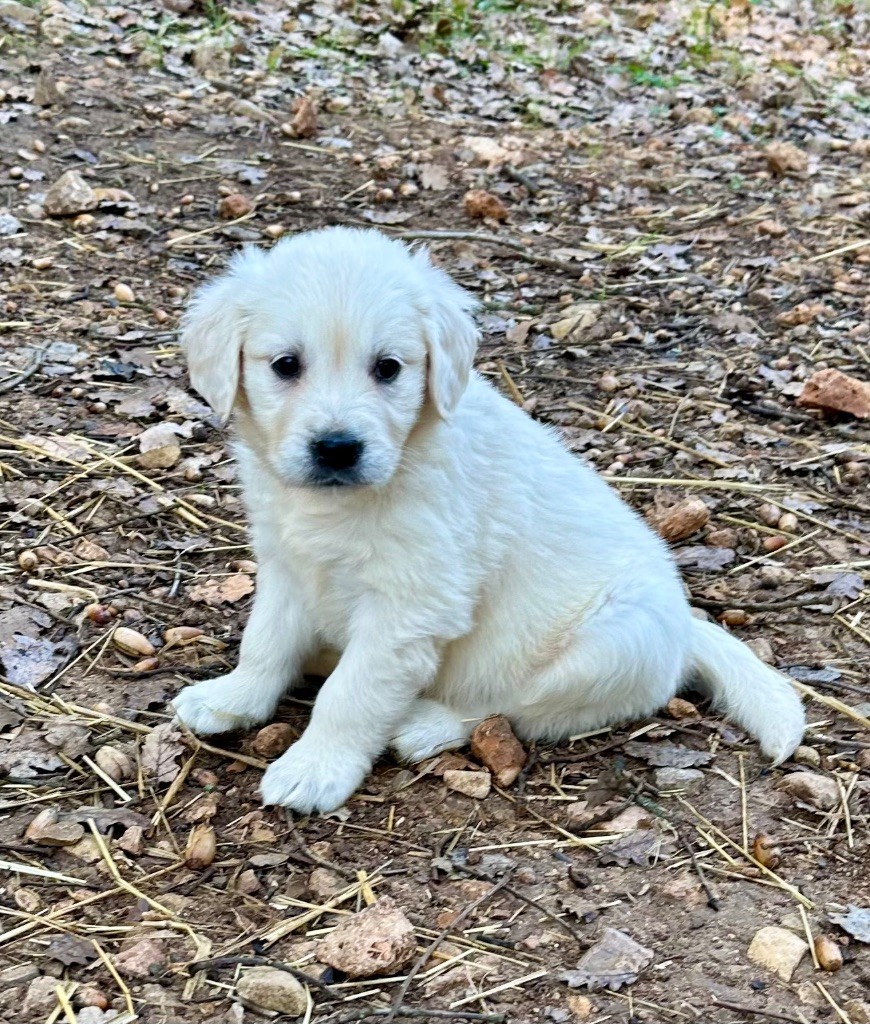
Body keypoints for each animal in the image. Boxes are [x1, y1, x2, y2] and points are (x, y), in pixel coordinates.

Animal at [172, 228, 802, 811]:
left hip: (608, 645)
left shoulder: (412, 606)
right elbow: (265, 641)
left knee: (510, 707)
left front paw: (315, 767)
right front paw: (231, 697)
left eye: (388, 368)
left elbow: (352, 692)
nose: (337, 448)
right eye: (285, 365)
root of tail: (686, 629)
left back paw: (425, 723)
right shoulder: (287, 565)